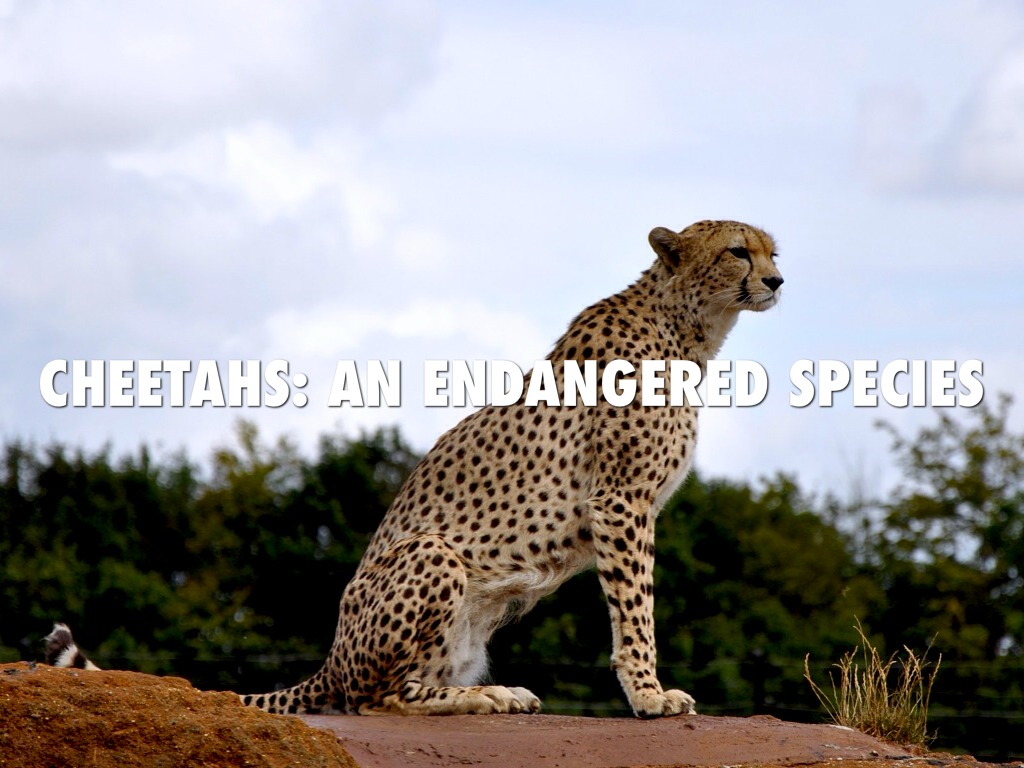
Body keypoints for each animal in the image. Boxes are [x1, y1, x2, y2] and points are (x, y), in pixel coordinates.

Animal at [242, 219, 782, 717]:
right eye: (738, 252)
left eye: (772, 253)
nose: (777, 280)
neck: (685, 327)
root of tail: (330, 663)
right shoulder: (620, 501)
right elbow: (635, 606)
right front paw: (648, 695)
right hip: (431, 554)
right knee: (373, 699)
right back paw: (481, 696)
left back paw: (493, 691)